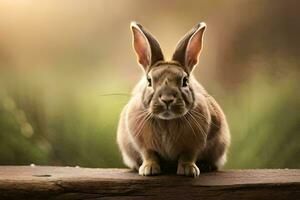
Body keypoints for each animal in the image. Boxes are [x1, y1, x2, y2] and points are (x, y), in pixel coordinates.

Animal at [116, 21, 230, 177]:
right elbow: (149, 155)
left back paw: (205, 166)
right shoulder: (144, 145)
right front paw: (149, 169)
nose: (167, 99)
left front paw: (189, 170)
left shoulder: (193, 145)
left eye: (185, 81)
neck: (167, 121)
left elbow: (187, 156)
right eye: (149, 81)